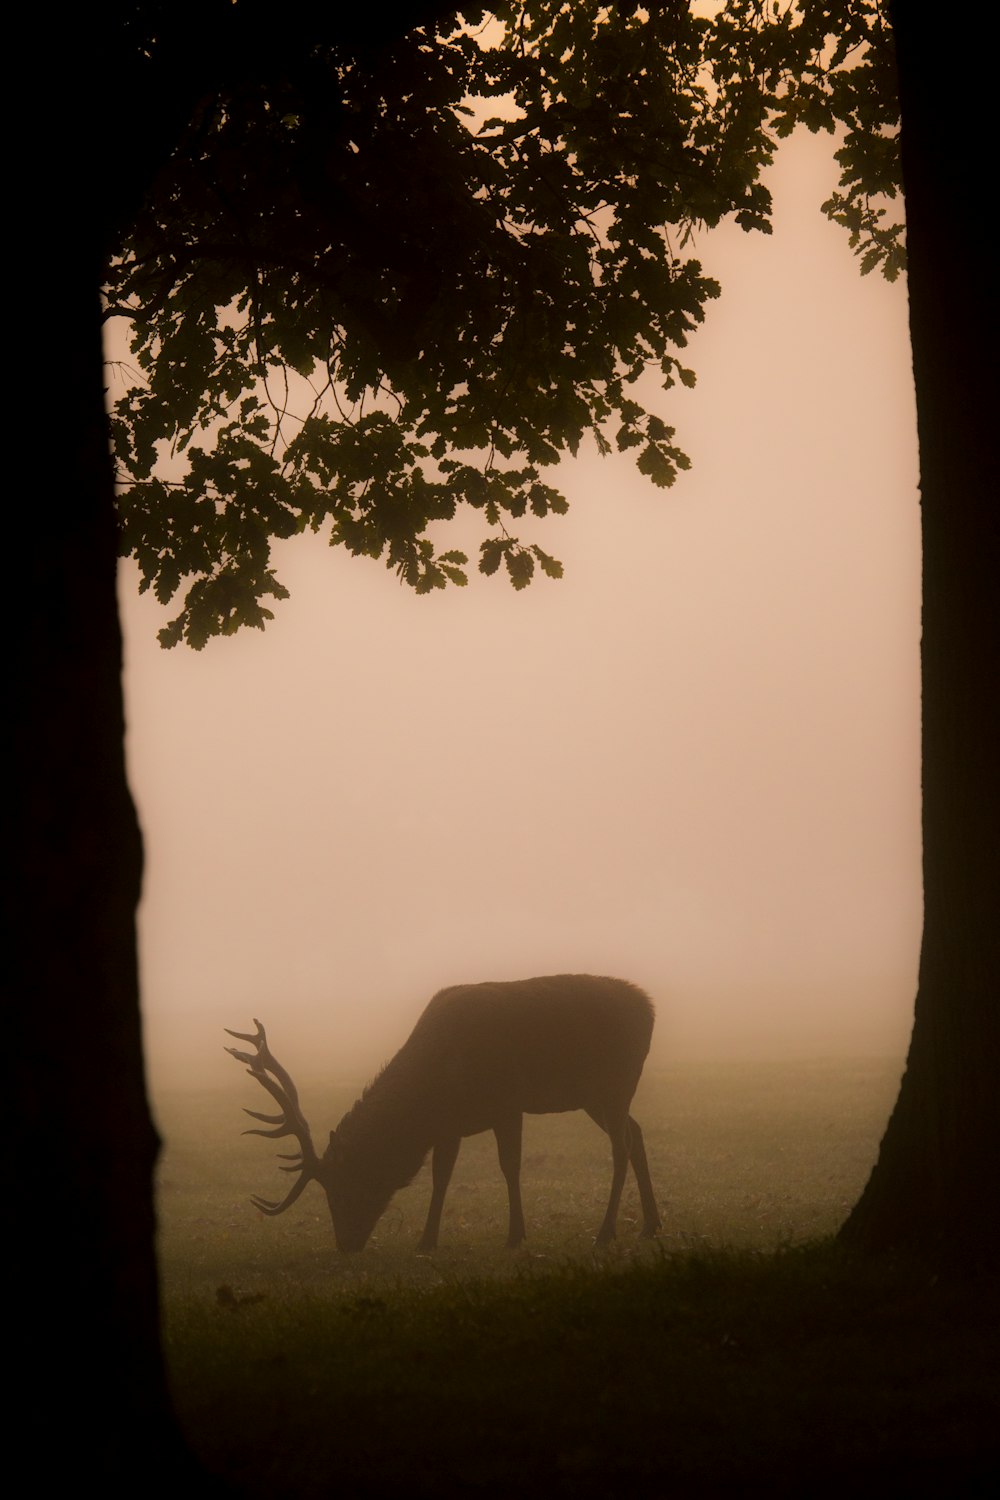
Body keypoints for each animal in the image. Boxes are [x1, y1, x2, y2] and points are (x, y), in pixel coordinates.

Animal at [227, 972, 665, 1254]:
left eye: (340, 1189)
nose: (345, 1244)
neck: (434, 1093)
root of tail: (650, 1008)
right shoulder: (448, 1127)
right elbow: (441, 1178)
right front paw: (427, 1239)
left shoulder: (507, 1103)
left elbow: (510, 1166)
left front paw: (515, 1235)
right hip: (596, 1096)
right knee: (637, 1132)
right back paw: (650, 1225)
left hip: (616, 1082)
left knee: (621, 1147)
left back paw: (606, 1232)